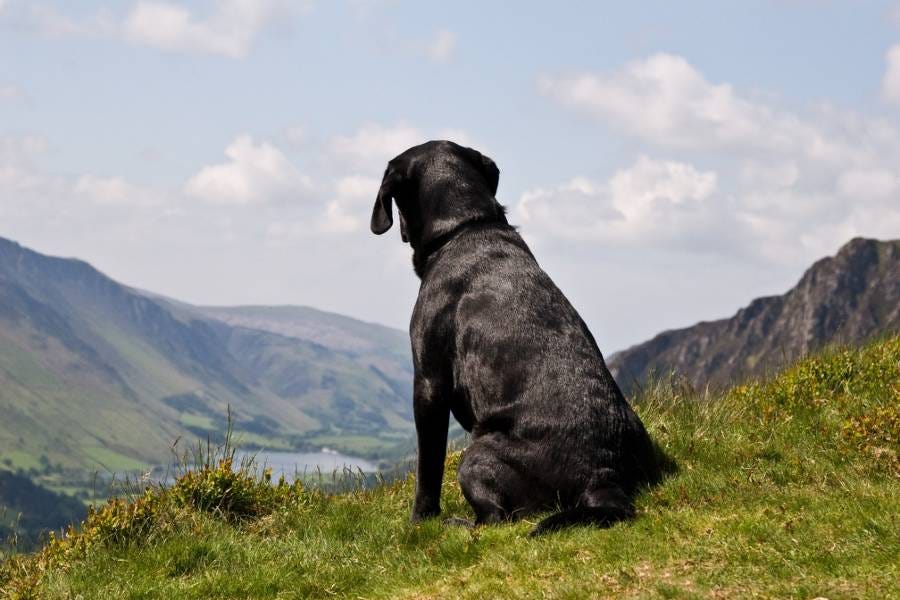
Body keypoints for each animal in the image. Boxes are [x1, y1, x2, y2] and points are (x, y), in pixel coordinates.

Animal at [370, 141, 656, 536]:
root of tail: (602, 474)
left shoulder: (428, 383)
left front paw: (421, 520)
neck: (467, 227)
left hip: (476, 454)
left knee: (494, 518)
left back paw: (455, 524)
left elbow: (428, 467)